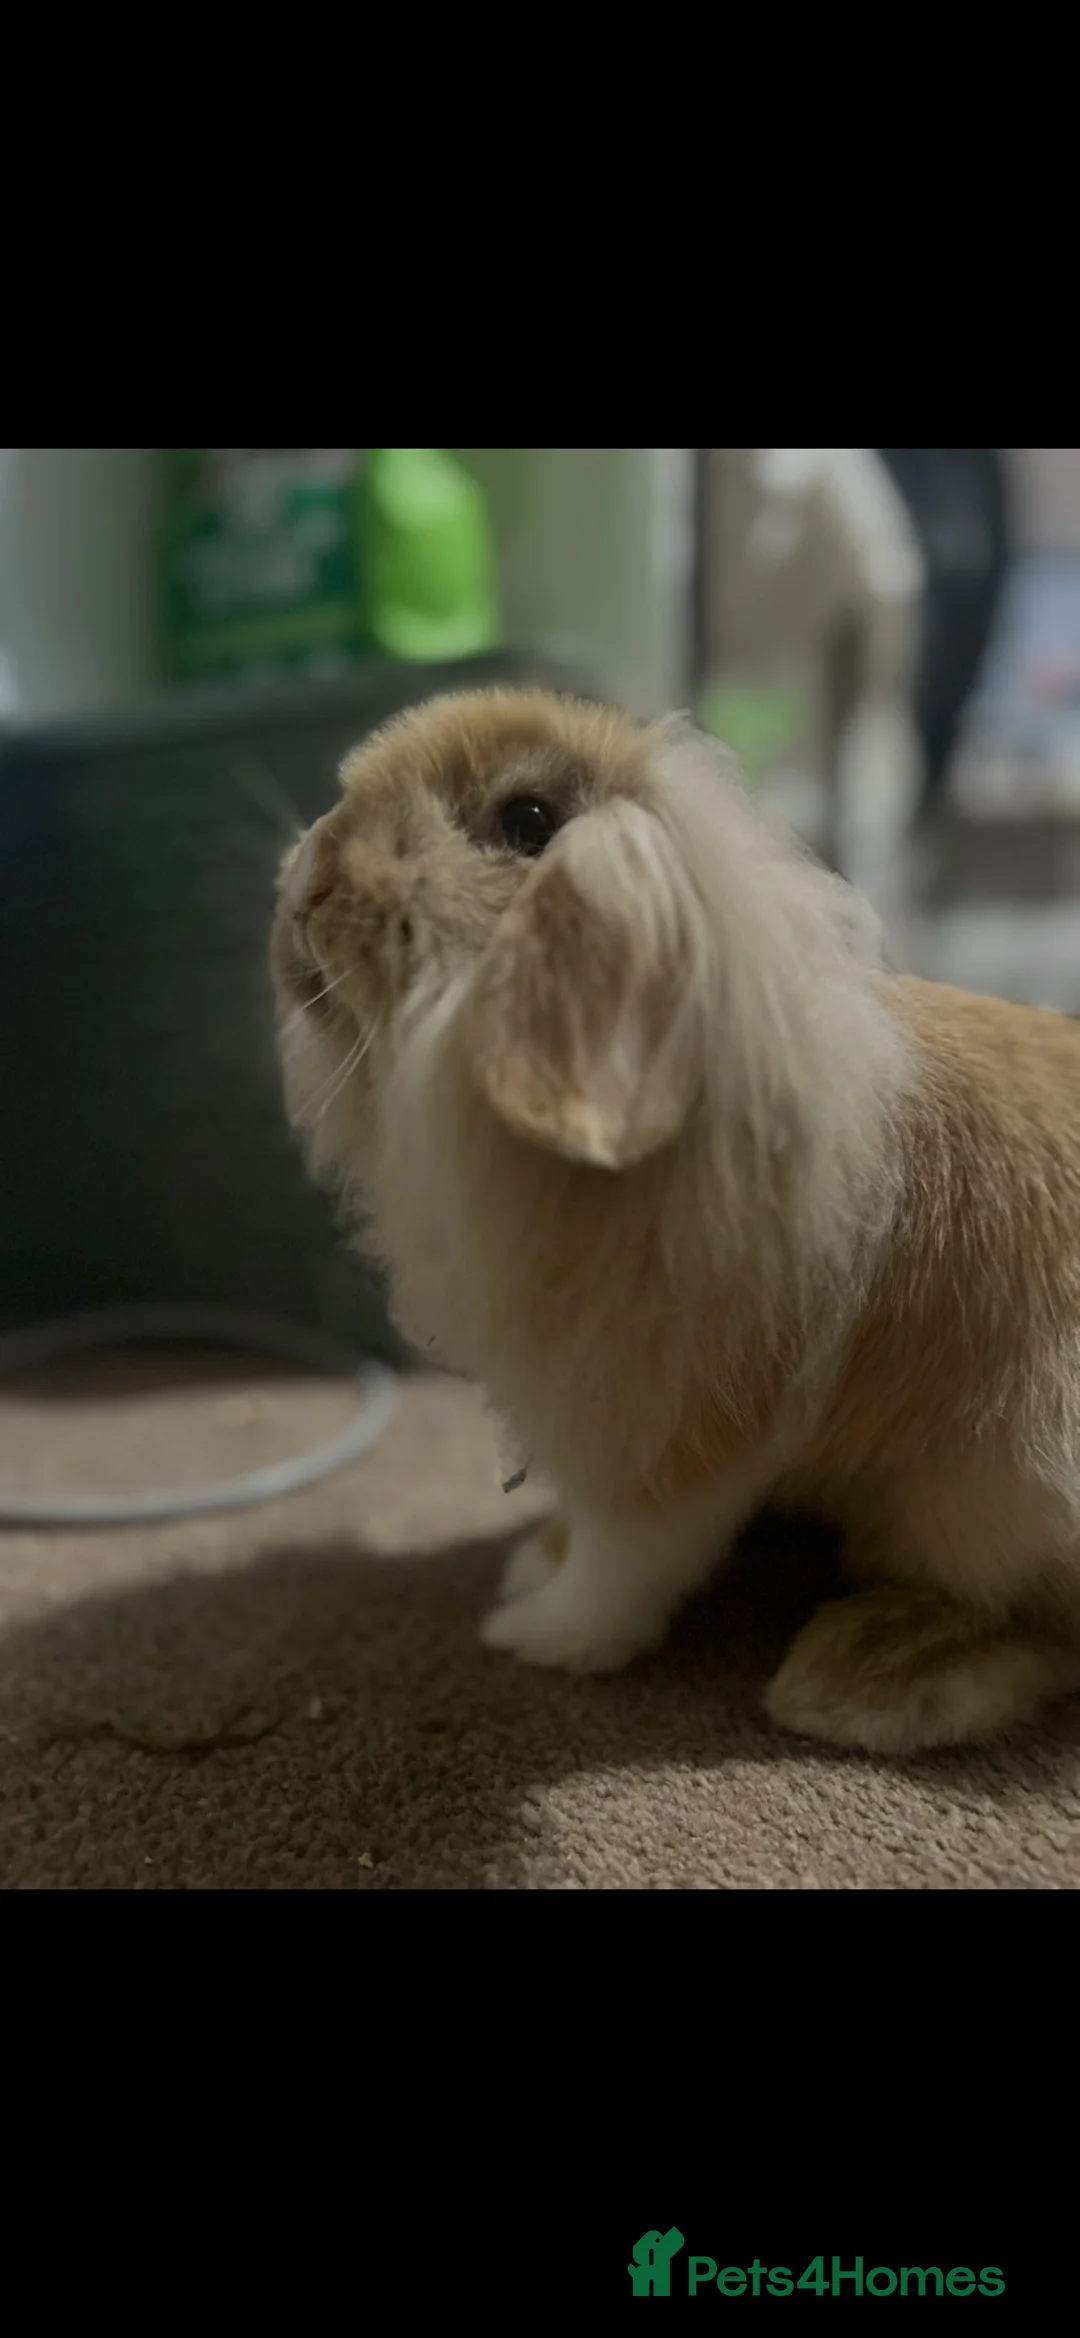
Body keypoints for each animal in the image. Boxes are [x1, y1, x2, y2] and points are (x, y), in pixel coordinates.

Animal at [270, 686, 1080, 1755]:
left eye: (528, 821)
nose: (307, 881)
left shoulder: (672, 1429)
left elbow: (627, 1562)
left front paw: (538, 1633)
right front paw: (537, 1557)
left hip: (996, 1485)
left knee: (1037, 1625)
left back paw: (862, 1677)